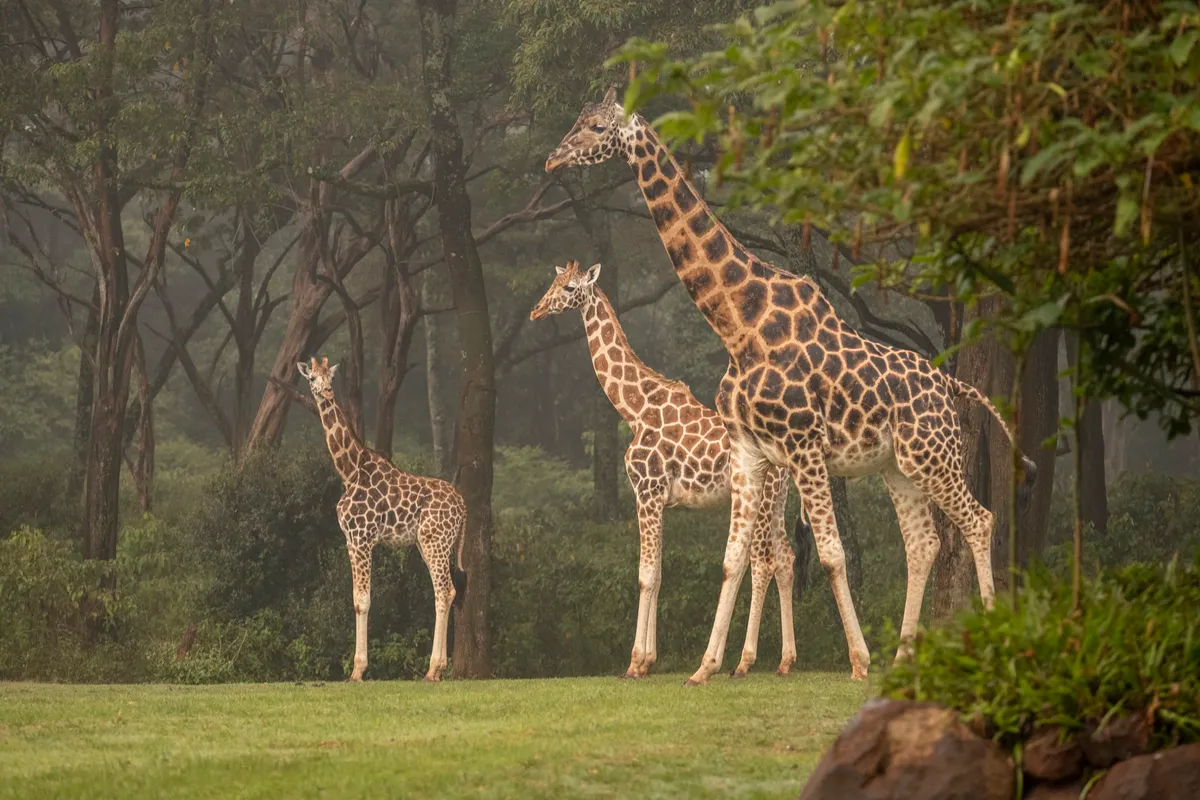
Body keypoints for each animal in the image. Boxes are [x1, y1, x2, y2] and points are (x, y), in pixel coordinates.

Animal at [297, 356, 467, 682]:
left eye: (330, 378)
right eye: (312, 378)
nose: (326, 392)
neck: (349, 471)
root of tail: (464, 507)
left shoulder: (363, 539)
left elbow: (363, 601)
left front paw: (357, 670)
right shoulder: (350, 542)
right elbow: (355, 599)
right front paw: (356, 668)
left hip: (435, 542)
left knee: (444, 590)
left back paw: (432, 670)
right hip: (428, 545)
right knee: (446, 590)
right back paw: (438, 669)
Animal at [529, 260, 813, 679]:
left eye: (569, 288)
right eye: (554, 281)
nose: (536, 311)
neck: (633, 408)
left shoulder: (646, 492)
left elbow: (645, 575)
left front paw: (635, 663)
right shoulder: (660, 500)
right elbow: (659, 573)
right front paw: (648, 661)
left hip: (759, 499)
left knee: (762, 563)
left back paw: (743, 663)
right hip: (776, 501)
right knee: (785, 560)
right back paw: (785, 661)